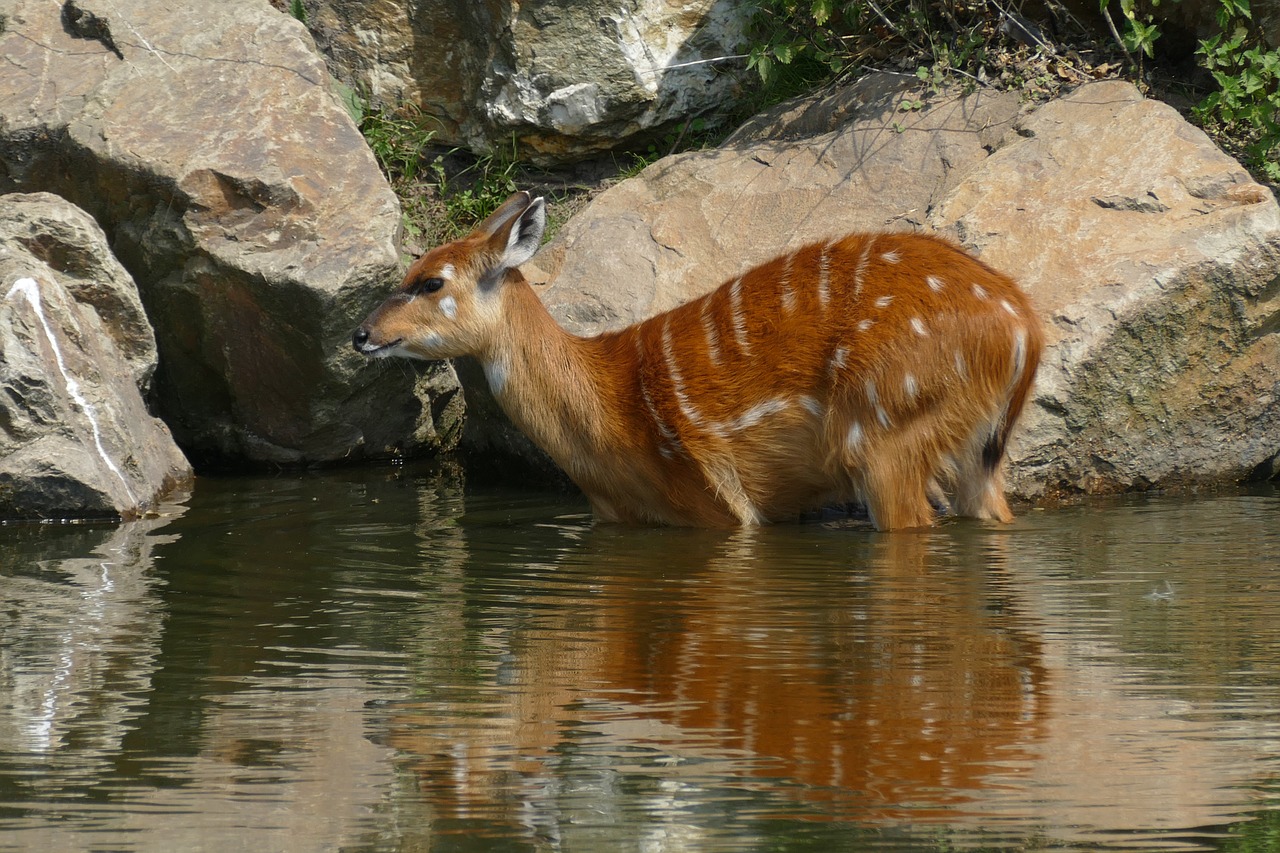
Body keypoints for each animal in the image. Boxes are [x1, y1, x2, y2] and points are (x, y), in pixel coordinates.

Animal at [350, 189, 1039, 527]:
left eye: (431, 281)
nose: (361, 333)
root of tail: (1024, 326)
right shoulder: (617, 519)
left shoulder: (720, 503)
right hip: (975, 449)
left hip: (885, 429)